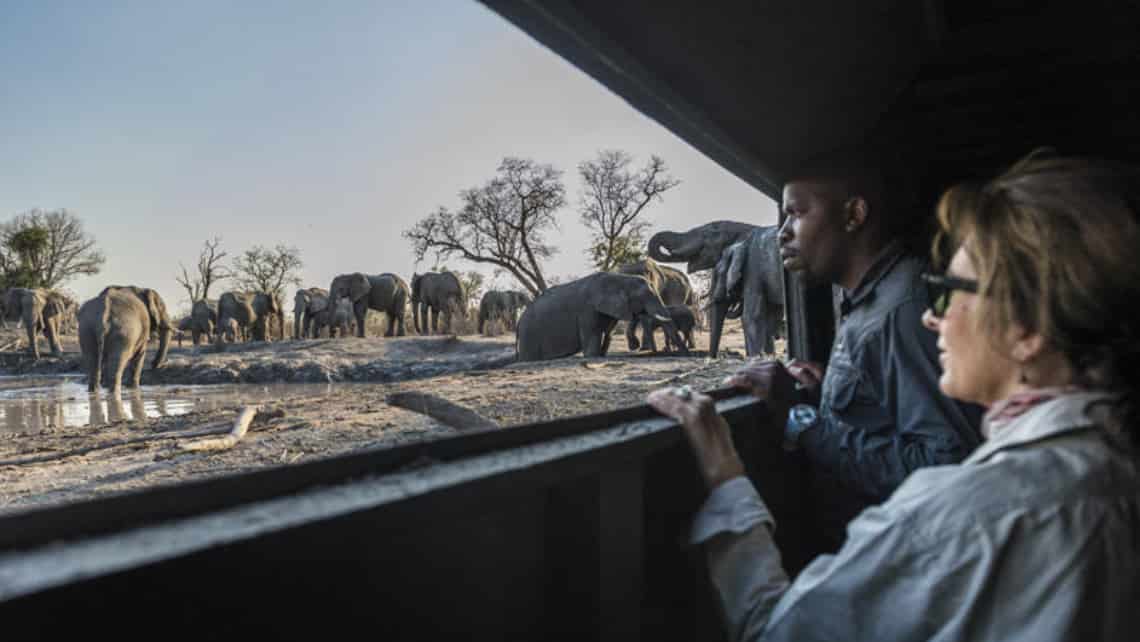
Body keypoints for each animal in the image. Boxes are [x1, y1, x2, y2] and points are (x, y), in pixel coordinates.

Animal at [517, 271, 684, 362]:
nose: (686, 354)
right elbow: (593, 334)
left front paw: (602, 355)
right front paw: (593, 357)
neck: (621, 278)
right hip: (529, 336)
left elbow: (608, 333)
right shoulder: (587, 310)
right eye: (643, 296)